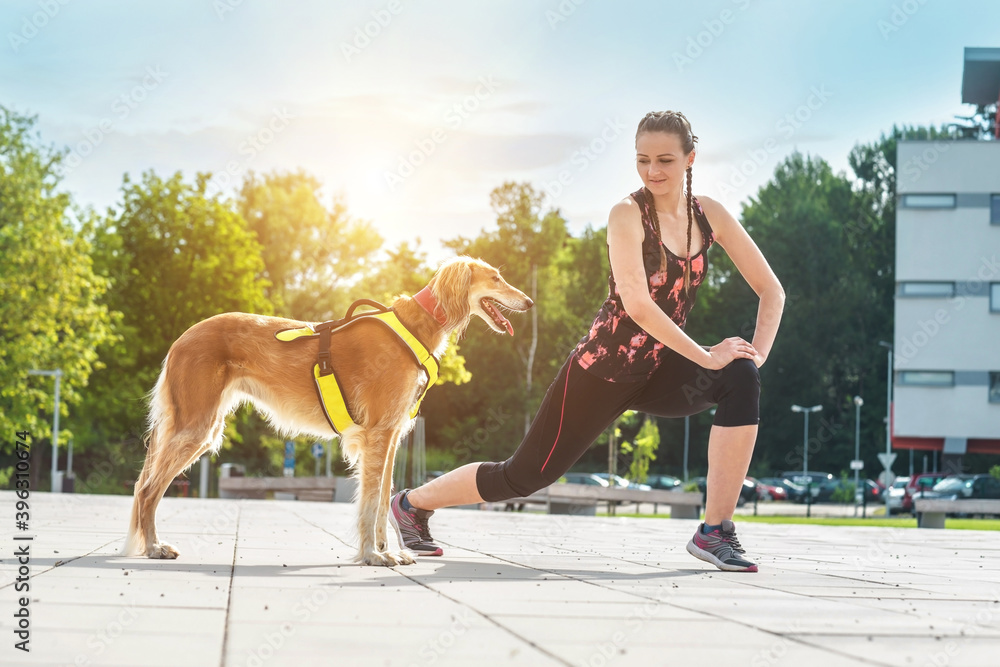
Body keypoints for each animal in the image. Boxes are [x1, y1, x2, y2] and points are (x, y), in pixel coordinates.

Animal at [122, 258, 536, 568]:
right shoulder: (378, 434)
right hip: (197, 426)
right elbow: (370, 503)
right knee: (146, 489)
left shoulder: (391, 437)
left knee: (145, 487)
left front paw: (389, 551)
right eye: (496, 277)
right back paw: (154, 547)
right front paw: (372, 555)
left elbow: (383, 499)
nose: (530, 302)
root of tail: (181, 338)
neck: (414, 326)